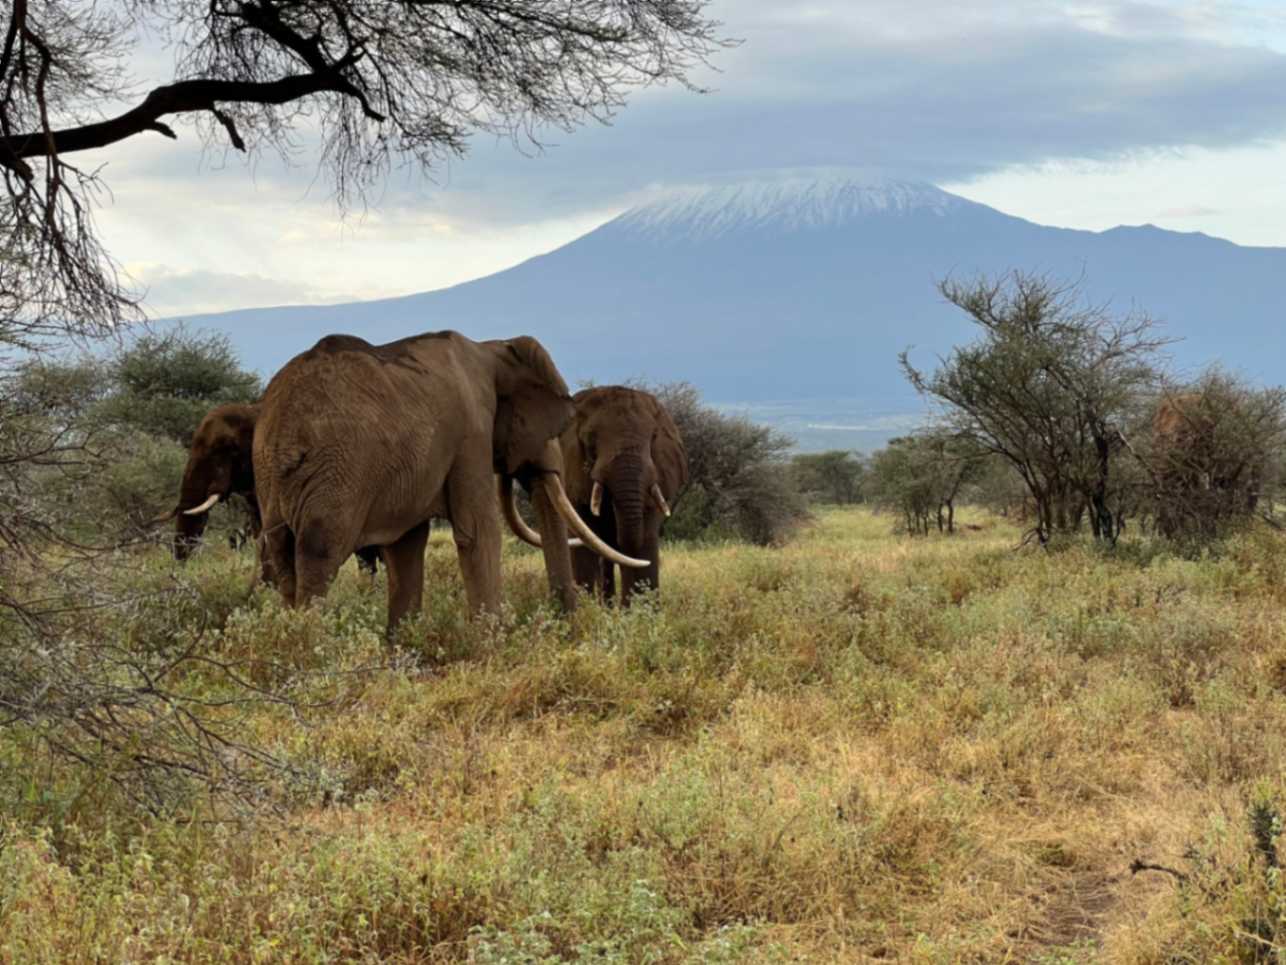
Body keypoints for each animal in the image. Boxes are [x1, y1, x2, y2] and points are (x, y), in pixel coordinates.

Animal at [248, 331, 640, 635]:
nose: (567, 629)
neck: (492, 349)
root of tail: (284, 430)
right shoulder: (471, 432)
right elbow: (479, 531)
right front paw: (494, 644)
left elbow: (406, 545)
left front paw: (402, 647)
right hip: (338, 471)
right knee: (319, 553)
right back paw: (309, 647)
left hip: (270, 477)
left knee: (283, 555)